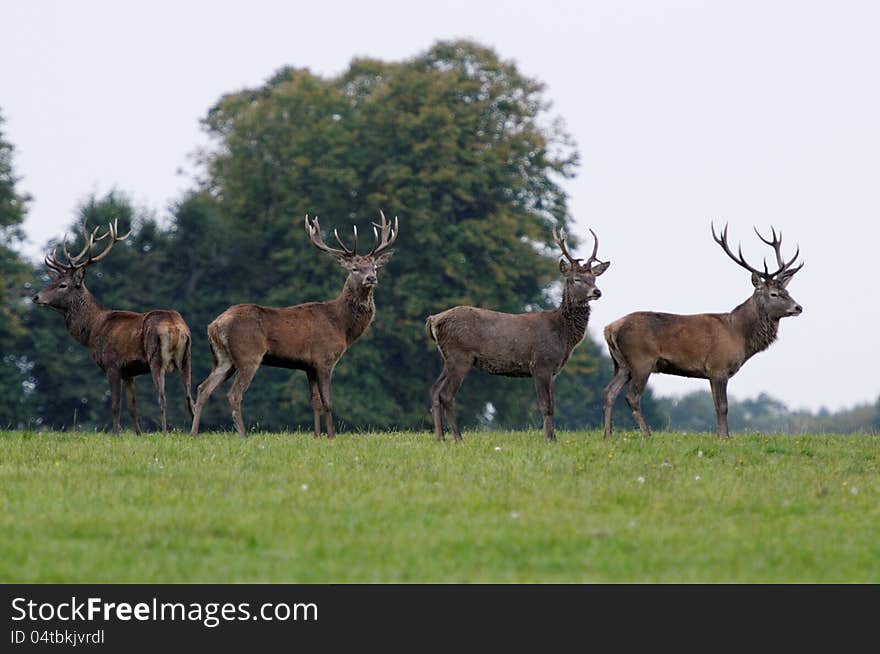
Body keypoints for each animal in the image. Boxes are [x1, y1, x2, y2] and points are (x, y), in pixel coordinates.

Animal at [34, 220, 194, 436]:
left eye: (63, 285)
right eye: (53, 280)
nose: (36, 297)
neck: (92, 330)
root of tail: (176, 328)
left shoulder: (112, 364)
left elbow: (116, 405)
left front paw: (116, 433)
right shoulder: (129, 371)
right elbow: (132, 406)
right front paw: (138, 434)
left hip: (157, 358)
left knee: (162, 397)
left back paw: (165, 431)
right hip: (186, 358)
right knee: (191, 396)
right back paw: (194, 431)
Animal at [194, 211, 400, 436]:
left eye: (374, 267)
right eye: (354, 268)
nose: (371, 278)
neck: (341, 326)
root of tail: (214, 326)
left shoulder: (308, 365)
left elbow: (315, 402)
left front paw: (317, 436)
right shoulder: (324, 358)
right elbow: (328, 402)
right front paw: (331, 436)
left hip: (223, 359)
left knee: (203, 388)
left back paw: (194, 432)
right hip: (248, 354)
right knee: (233, 394)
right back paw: (243, 434)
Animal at [428, 228, 612, 444]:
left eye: (594, 278)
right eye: (576, 279)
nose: (596, 291)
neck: (562, 334)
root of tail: (434, 319)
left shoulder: (554, 371)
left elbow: (553, 406)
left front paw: (554, 438)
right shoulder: (540, 363)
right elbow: (545, 405)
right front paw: (548, 439)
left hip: (447, 358)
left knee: (434, 390)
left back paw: (440, 437)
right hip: (460, 356)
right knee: (446, 395)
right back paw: (458, 438)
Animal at [604, 224, 804, 440]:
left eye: (788, 292)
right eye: (774, 294)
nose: (798, 307)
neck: (740, 335)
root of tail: (610, 328)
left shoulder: (710, 373)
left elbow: (716, 405)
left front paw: (721, 436)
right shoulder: (719, 367)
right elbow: (723, 406)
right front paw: (724, 437)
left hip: (622, 364)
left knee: (609, 391)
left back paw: (608, 434)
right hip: (641, 360)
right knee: (632, 396)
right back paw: (647, 434)